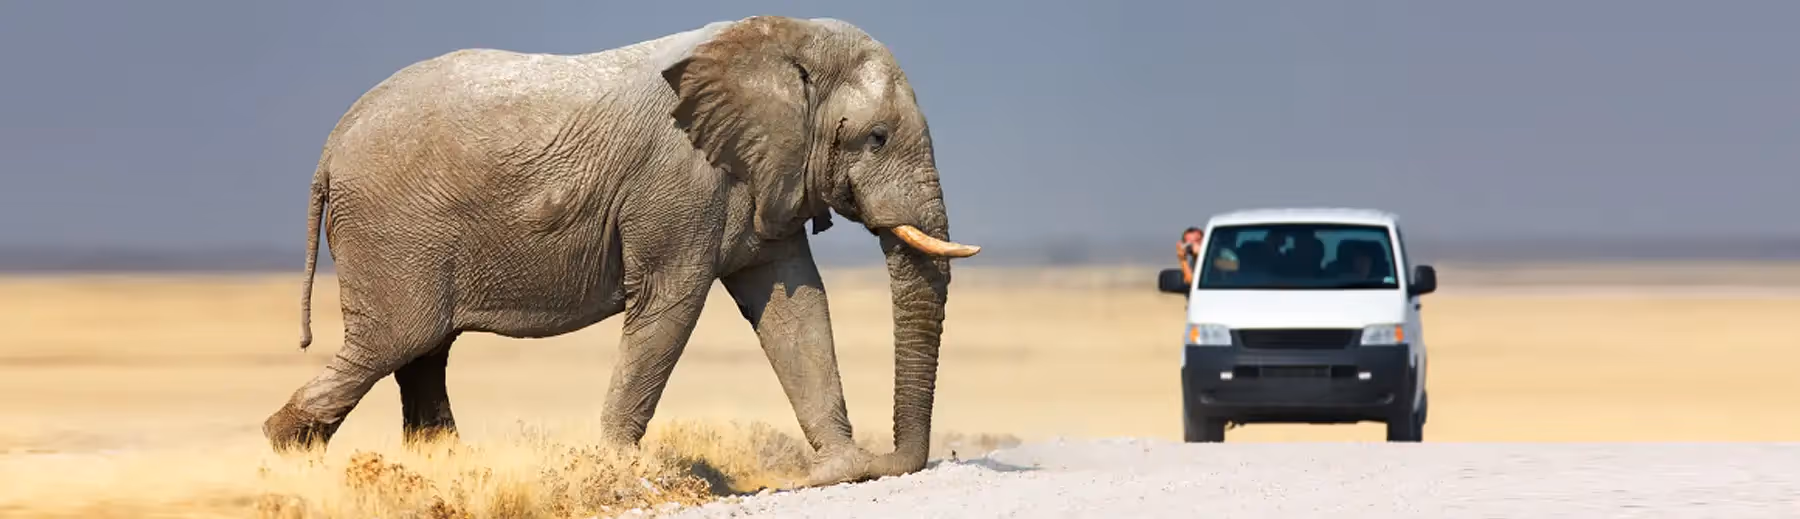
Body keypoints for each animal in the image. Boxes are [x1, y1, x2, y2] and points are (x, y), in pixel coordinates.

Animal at [261, 15, 981, 487]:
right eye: (877, 137)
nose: (894, 462)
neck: (782, 38)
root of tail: (330, 149)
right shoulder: (680, 183)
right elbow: (672, 306)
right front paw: (617, 469)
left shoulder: (759, 175)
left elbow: (793, 305)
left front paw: (840, 473)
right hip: (392, 231)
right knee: (394, 342)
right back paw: (285, 459)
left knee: (421, 353)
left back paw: (442, 465)